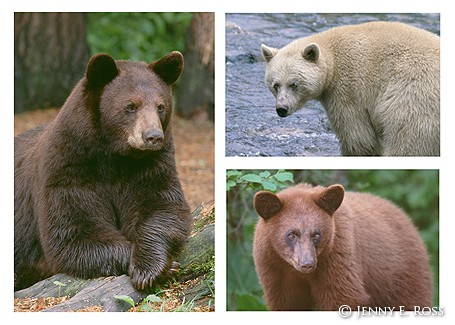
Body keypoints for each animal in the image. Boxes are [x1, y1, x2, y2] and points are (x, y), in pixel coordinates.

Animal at [14, 51, 192, 292]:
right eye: (130, 106)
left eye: (160, 106)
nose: (153, 137)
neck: (114, 156)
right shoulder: (66, 169)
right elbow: (74, 233)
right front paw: (157, 267)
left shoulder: (151, 166)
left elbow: (162, 208)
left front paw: (149, 266)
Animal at [253, 182, 434, 308]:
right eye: (291, 234)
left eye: (317, 234)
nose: (307, 264)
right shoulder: (274, 268)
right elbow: (287, 302)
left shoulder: (338, 254)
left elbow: (343, 298)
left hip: (404, 275)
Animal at [262, 21, 440, 156]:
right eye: (275, 85)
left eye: (294, 84)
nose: (282, 109)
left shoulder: (348, 89)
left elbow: (358, 138)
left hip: (412, 96)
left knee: (407, 141)